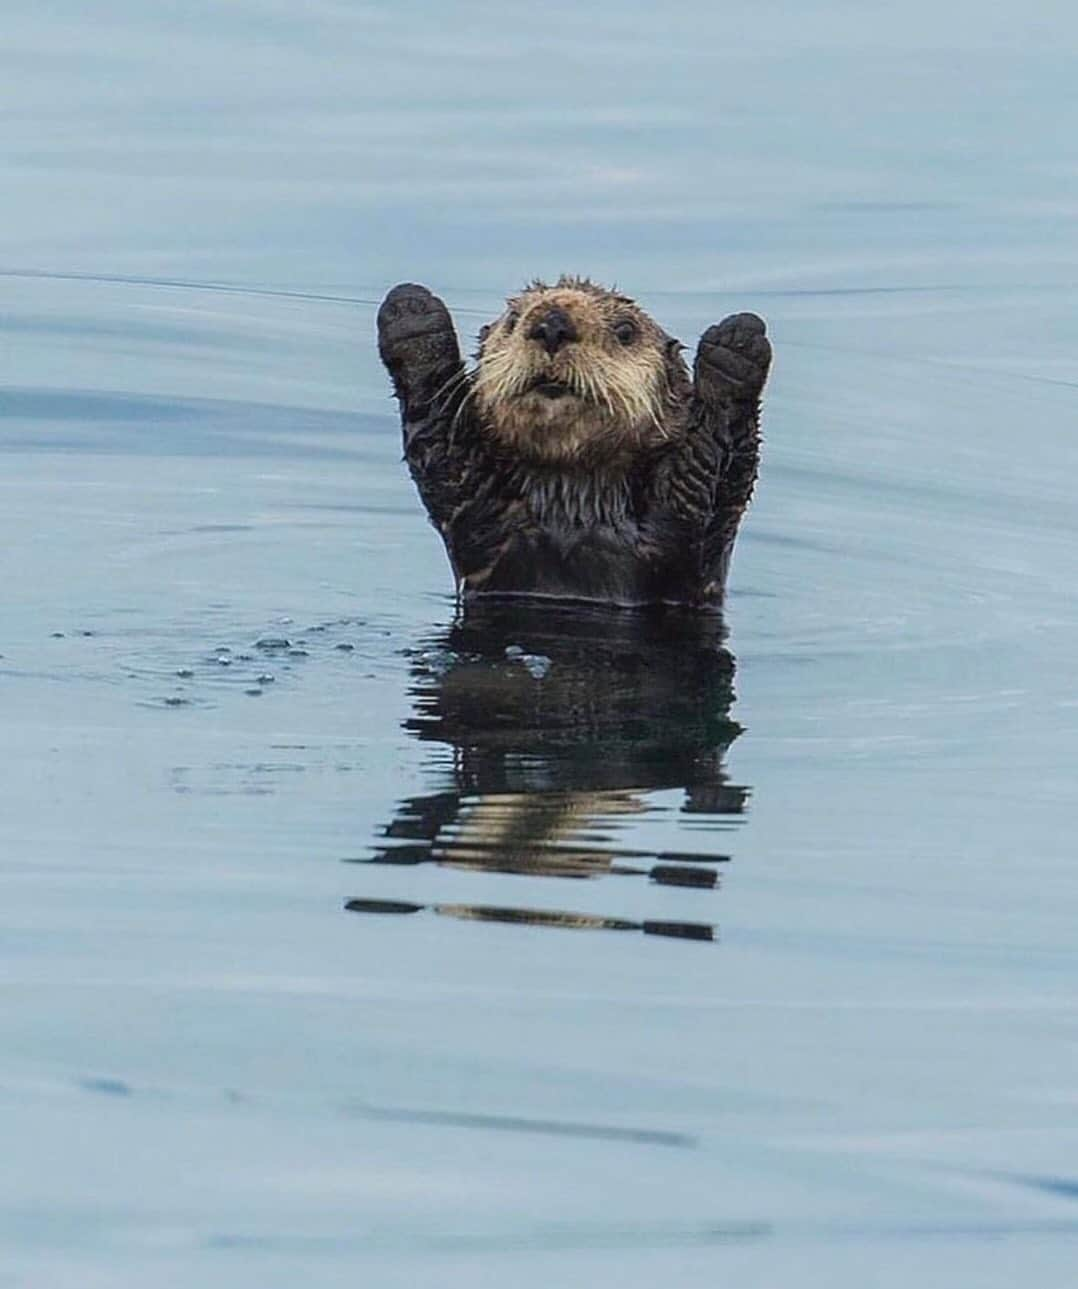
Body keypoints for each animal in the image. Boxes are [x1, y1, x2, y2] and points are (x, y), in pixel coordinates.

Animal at [373, 278, 768, 608]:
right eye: (512, 320)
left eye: (625, 331)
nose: (551, 325)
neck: (577, 507)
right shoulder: (481, 521)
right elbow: (443, 446)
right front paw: (412, 312)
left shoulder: (687, 540)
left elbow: (710, 469)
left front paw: (737, 344)